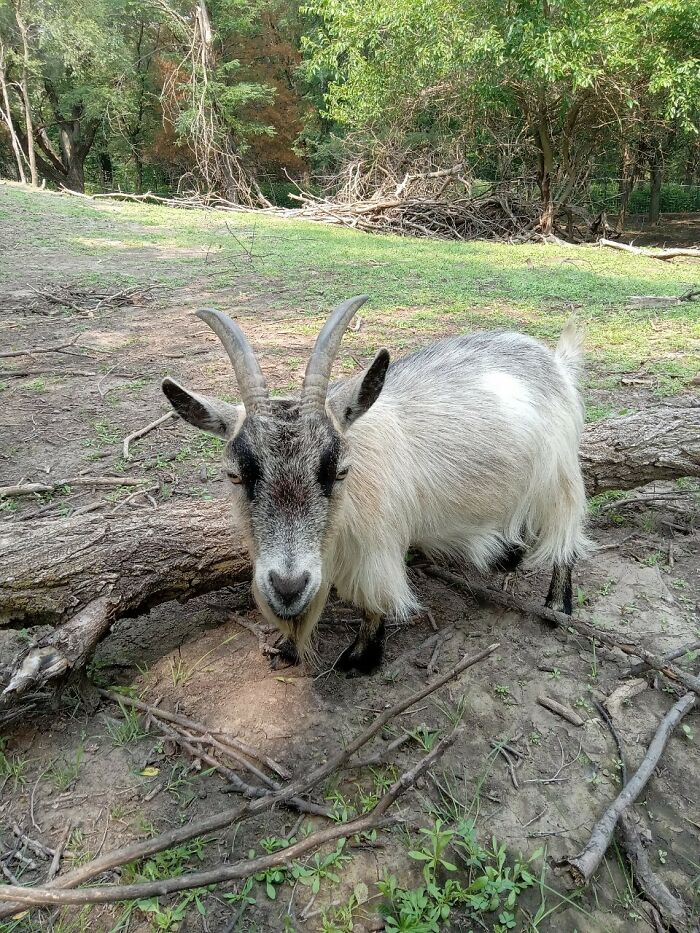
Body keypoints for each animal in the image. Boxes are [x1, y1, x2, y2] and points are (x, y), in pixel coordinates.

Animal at [162, 295, 589, 673]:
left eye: (339, 471)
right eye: (235, 475)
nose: (288, 587)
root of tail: (554, 360)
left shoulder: (377, 546)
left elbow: (375, 598)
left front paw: (361, 656)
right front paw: (285, 647)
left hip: (559, 472)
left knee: (566, 530)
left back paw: (556, 604)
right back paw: (506, 554)